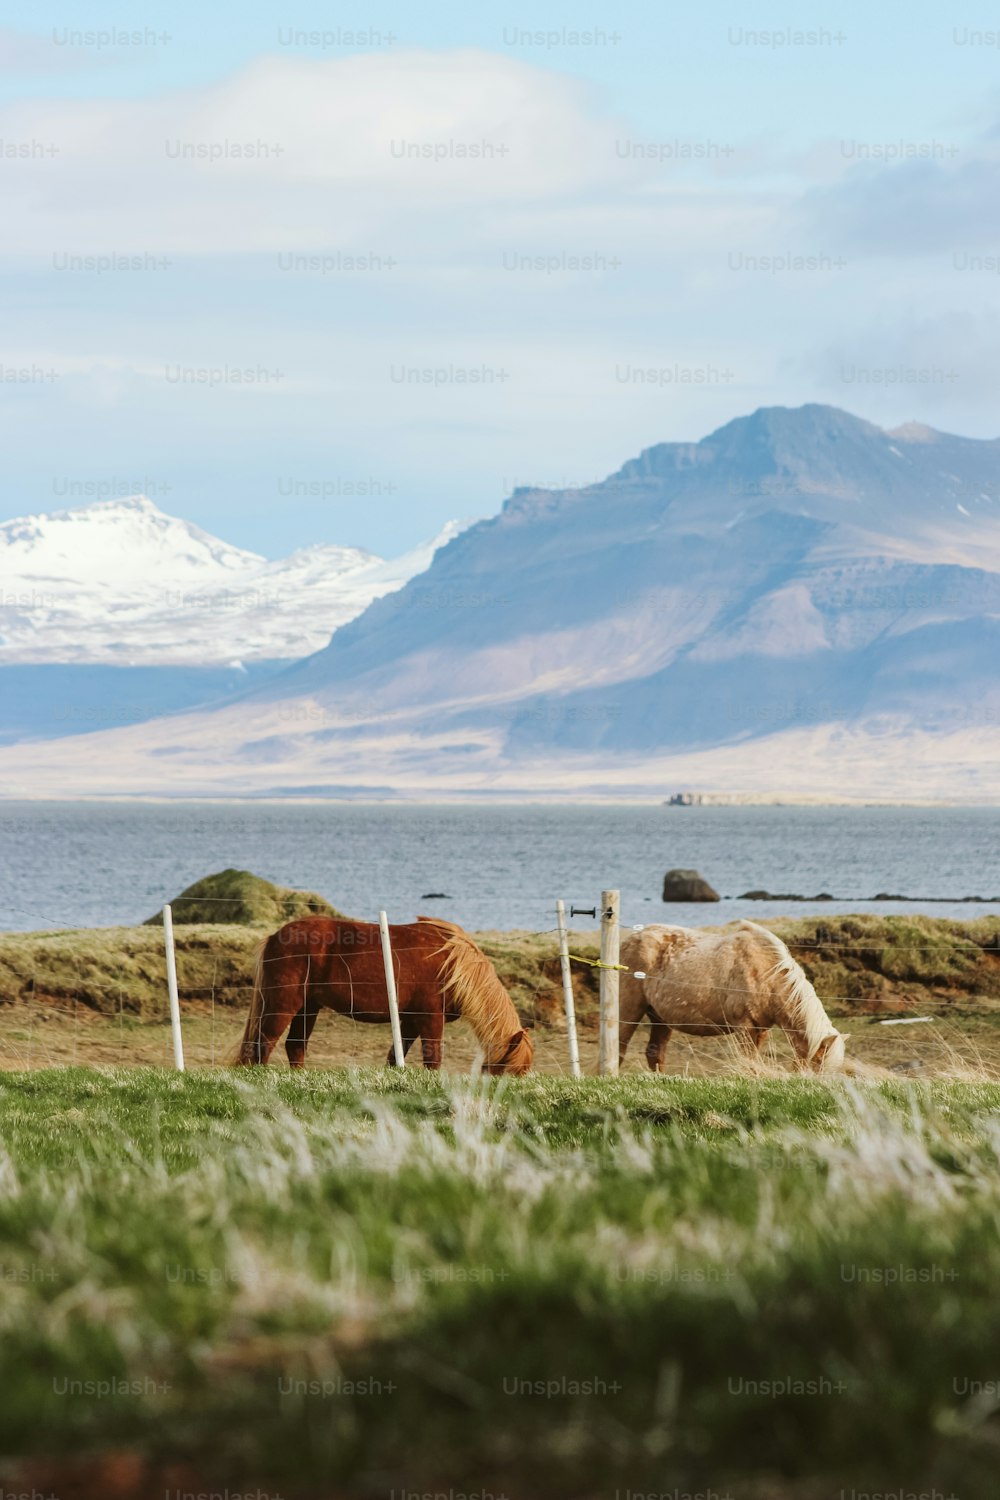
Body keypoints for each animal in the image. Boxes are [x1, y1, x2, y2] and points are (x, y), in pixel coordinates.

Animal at [235, 906, 536, 1074]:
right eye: (505, 1072)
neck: (454, 963)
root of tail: (275, 936)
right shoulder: (430, 1018)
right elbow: (433, 1059)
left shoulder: (411, 1020)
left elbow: (395, 1056)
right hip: (284, 1004)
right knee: (263, 1044)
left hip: (308, 1008)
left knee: (295, 1046)